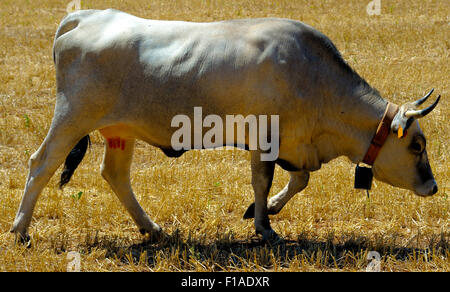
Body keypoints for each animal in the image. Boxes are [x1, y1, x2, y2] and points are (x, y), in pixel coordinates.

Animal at [9, 8, 440, 242]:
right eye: (416, 145)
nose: (433, 187)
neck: (316, 80)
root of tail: (87, 16)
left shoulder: (292, 145)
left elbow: (299, 180)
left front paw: (265, 211)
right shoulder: (265, 140)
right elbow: (263, 182)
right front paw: (265, 226)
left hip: (120, 131)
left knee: (115, 175)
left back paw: (152, 228)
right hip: (71, 117)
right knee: (40, 164)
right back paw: (20, 229)